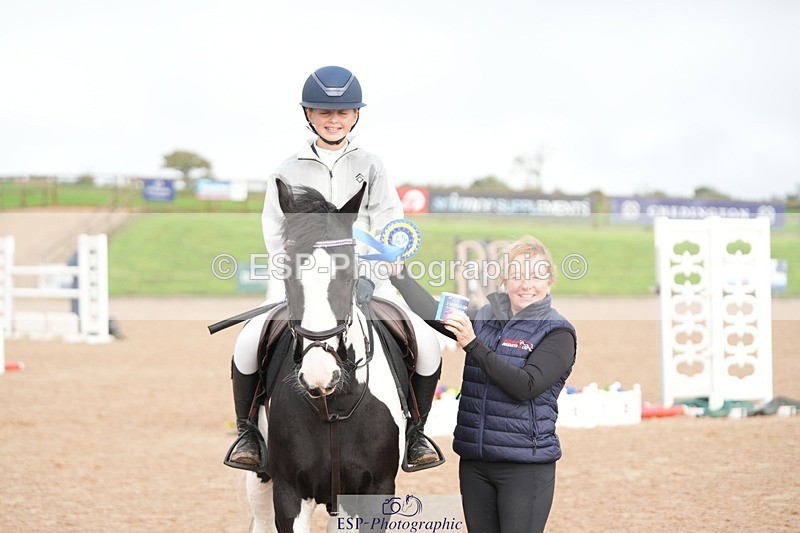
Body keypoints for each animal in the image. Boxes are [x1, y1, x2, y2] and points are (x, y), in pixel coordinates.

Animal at [246, 179, 407, 532]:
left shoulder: (375, 491)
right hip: (261, 478)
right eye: (288, 276)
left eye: (348, 277)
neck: (335, 405)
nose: (319, 374)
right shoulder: (289, 493)